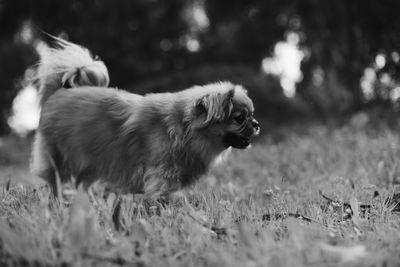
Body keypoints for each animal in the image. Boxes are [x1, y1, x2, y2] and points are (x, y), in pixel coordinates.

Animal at [30, 37, 260, 199]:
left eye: (252, 115)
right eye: (240, 118)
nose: (257, 124)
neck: (183, 129)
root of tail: (57, 92)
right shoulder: (161, 178)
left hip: (91, 163)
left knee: (81, 185)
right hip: (57, 160)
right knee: (55, 183)